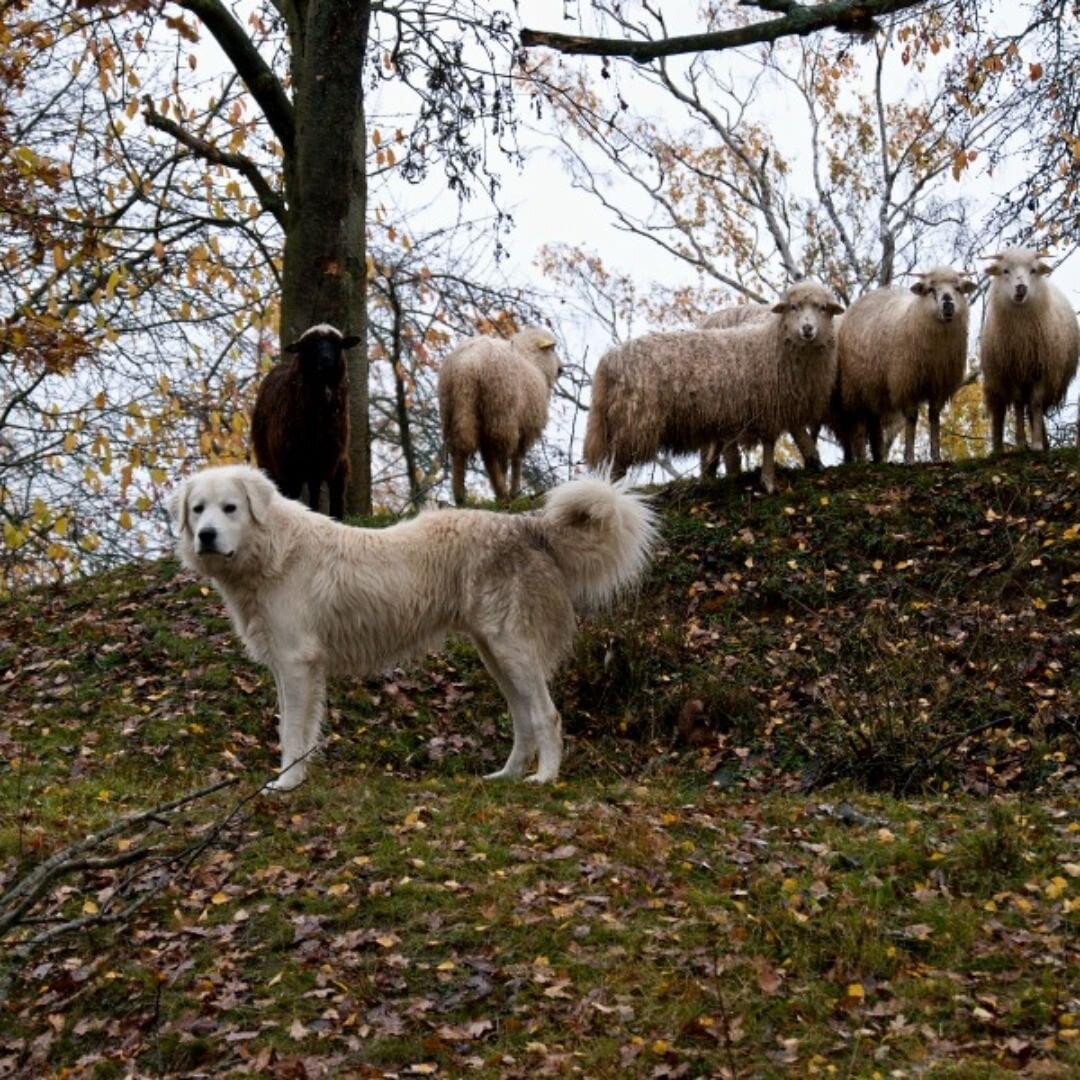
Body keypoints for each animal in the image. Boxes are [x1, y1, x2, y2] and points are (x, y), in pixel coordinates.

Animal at [172, 466, 652, 794]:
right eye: (198, 510)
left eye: (230, 508)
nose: (207, 535)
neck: (272, 551)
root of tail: (527, 525)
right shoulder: (285, 668)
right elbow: (293, 727)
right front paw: (295, 776)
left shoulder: (297, 663)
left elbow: (291, 731)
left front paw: (287, 784)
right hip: (496, 655)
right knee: (524, 721)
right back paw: (507, 776)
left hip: (511, 649)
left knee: (547, 716)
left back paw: (545, 778)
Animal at [436, 324, 561, 505]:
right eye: (552, 349)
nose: (561, 369)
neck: (532, 359)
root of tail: (467, 365)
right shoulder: (525, 427)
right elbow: (517, 459)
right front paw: (515, 491)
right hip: (500, 413)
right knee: (494, 457)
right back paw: (503, 493)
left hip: (456, 410)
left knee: (460, 451)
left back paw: (460, 497)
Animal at [583, 280, 842, 494]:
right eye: (793, 307)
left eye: (822, 308)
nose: (807, 329)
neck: (773, 342)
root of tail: (607, 362)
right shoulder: (769, 406)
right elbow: (770, 444)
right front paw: (769, 481)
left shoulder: (781, 405)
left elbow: (785, 438)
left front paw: (809, 464)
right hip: (632, 422)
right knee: (616, 465)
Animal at [825, 266, 980, 464]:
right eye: (930, 289)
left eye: (958, 288)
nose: (948, 305)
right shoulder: (906, 382)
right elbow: (912, 418)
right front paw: (909, 458)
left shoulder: (939, 384)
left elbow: (934, 417)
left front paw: (936, 456)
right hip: (855, 388)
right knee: (857, 427)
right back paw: (861, 459)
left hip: (873, 389)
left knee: (873, 422)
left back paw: (878, 458)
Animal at [984, 247, 1075, 451]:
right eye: (1005, 270)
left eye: (1033, 270)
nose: (1021, 288)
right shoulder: (1012, 372)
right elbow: (1018, 403)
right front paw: (1020, 443)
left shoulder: (1043, 371)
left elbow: (1036, 403)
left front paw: (1036, 444)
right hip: (995, 381)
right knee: (998, 413)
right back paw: (997, 449)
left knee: (1034, 411)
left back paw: (1044, 442)